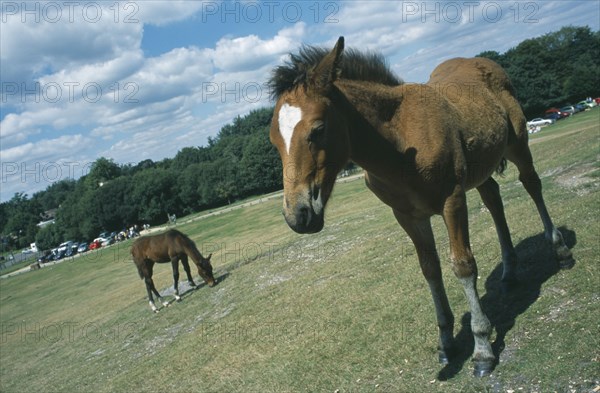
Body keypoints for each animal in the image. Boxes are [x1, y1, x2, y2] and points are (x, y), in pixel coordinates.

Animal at [268, 37, 572, 376]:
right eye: (273, 140)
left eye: (318, 129)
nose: (298, 215)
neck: (399, 142)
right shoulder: (407, 216)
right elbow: (430, 269)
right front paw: (446, 343)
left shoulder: (453, 200)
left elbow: (463, 266)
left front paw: (482, 348)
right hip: (481, 167)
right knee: (493, 198)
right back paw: (508, 272)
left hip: (517, 144)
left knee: (532, 184)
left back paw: (559, 250)